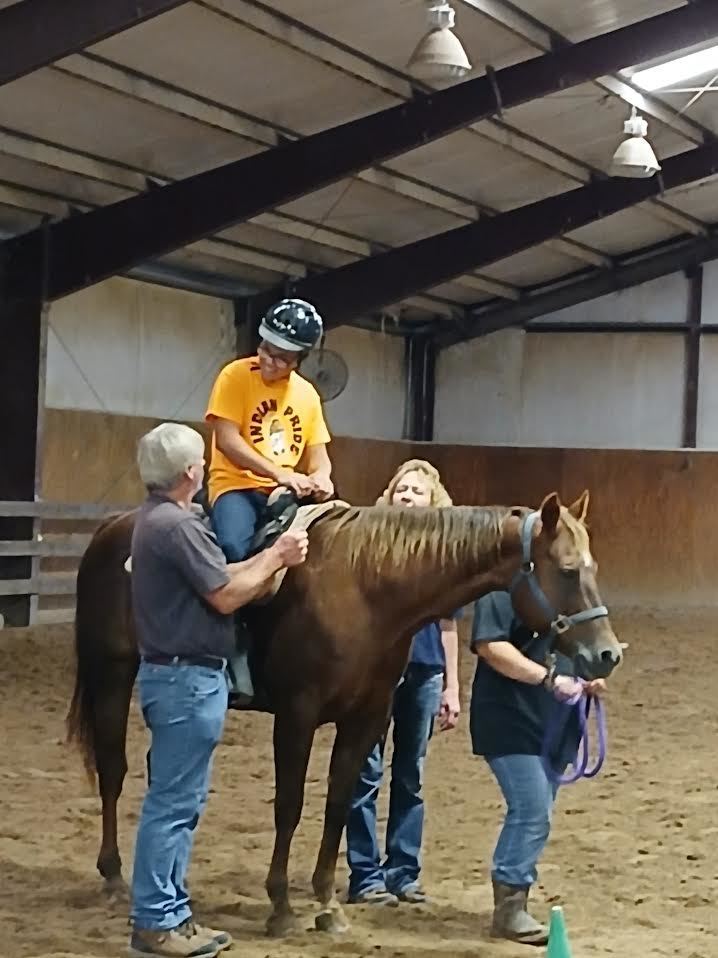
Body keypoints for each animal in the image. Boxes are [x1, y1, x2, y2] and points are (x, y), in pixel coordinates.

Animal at [66, 489, 622, 937]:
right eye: (567, 571)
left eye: (595, 568)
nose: (607, 655)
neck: (367, 590)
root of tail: (114, 526)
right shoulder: (297, 715)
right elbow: (289, 807)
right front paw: (282, 907)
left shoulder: (365, 719)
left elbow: (338, 804)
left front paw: (327, 906)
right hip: (111, 674)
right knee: (113, 770)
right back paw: (113, 876)